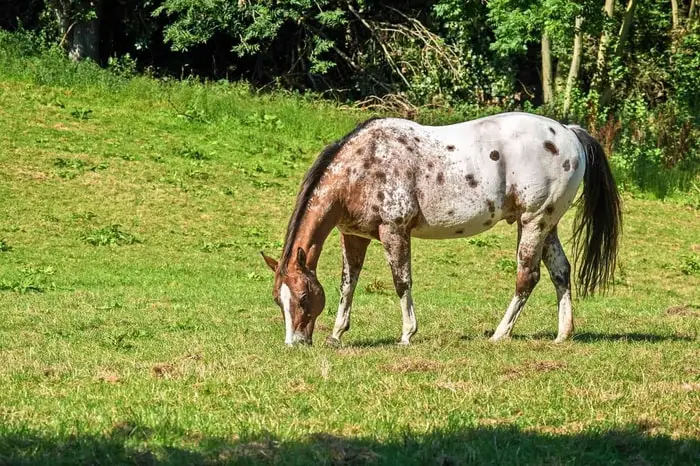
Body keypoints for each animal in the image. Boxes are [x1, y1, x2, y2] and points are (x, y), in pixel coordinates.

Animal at [260, 112, 620, 346]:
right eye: (279, 300)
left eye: (303, 297)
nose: (295, 343)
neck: (362, 167)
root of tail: (568, 132)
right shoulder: (354, 237)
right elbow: (348, 285)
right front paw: (336, 335)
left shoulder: (394, 231)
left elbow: (401, 282)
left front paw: (407, 334)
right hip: (546, 224)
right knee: (561, 271)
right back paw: (562, 335)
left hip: (534, 222)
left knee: (527, 278)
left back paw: (499, 334)